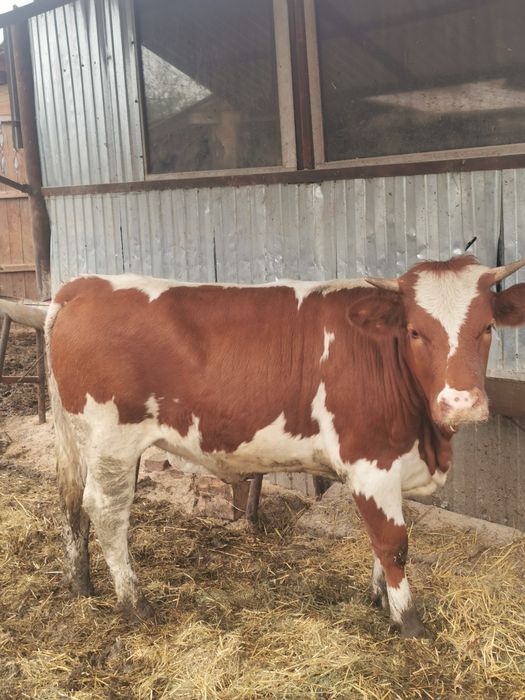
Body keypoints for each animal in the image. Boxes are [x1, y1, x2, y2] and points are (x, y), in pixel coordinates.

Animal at [45, 255, 525, 638]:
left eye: (487, 328)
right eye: (415, 332)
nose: (460, 403)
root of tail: (82, 285)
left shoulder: (391, 465)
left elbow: (377, 541)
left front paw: (379, 599)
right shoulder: (369, 461)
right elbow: (393, 543)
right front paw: (408, 622)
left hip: (84, 441)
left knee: (71, 501)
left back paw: (81, 584)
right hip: (113, 439)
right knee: (106, 512)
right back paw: (135, 603)